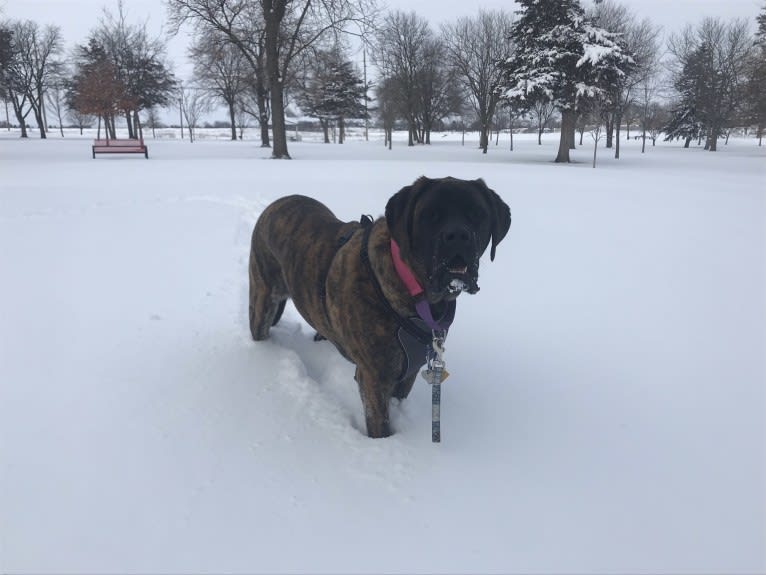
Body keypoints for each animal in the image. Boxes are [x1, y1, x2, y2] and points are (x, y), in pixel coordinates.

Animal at [250, 176, 510, 436]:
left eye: (477, 214)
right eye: (430, 215)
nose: (457, 235)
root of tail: (275, 204)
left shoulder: (409, 371)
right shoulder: (375, 378)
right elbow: (380, 424)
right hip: (262, 299)